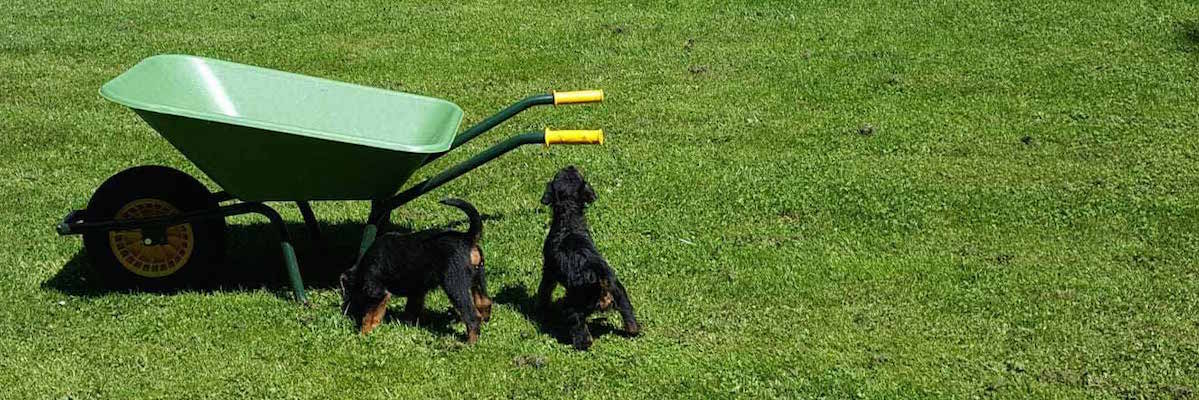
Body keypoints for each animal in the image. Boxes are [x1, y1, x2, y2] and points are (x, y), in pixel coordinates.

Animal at [338, 198, 491, 342]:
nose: (344, 312)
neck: (362, 268)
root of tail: (467, 238)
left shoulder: (377, 292)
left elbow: (369, 316)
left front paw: (363, 334)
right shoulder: (417, 290)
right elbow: (411, 309)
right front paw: (405, 325)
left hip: (454, 284)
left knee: (472, 316)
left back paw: (469, 343)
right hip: (478, 278)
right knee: (485, 302)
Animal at [539, 165, 642, 349]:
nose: (571, 165)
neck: (569, 219)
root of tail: (599, 278)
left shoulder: (549, 270)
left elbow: (544, 290)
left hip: (575, 306)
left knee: (581, 330)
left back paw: (578, 345)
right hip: (621, 294)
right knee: (630, 320)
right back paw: (633, 330)